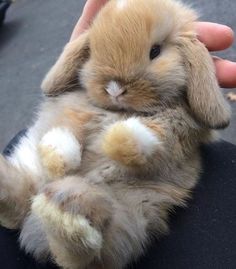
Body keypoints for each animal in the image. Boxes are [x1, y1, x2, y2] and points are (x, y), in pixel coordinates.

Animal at [0, 0, 230, 268]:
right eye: (93, 51)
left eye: (155, 51)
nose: (114, 89)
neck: (120, 110)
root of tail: (33, 227)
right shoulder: (74, 112)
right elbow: (67, 137)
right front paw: (57, 153)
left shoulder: (175, 131)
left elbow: (147, 138)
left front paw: (112, 138)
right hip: (30, 166)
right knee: (21, 198)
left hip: (127, 216)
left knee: (82, 253)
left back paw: (63, 209)